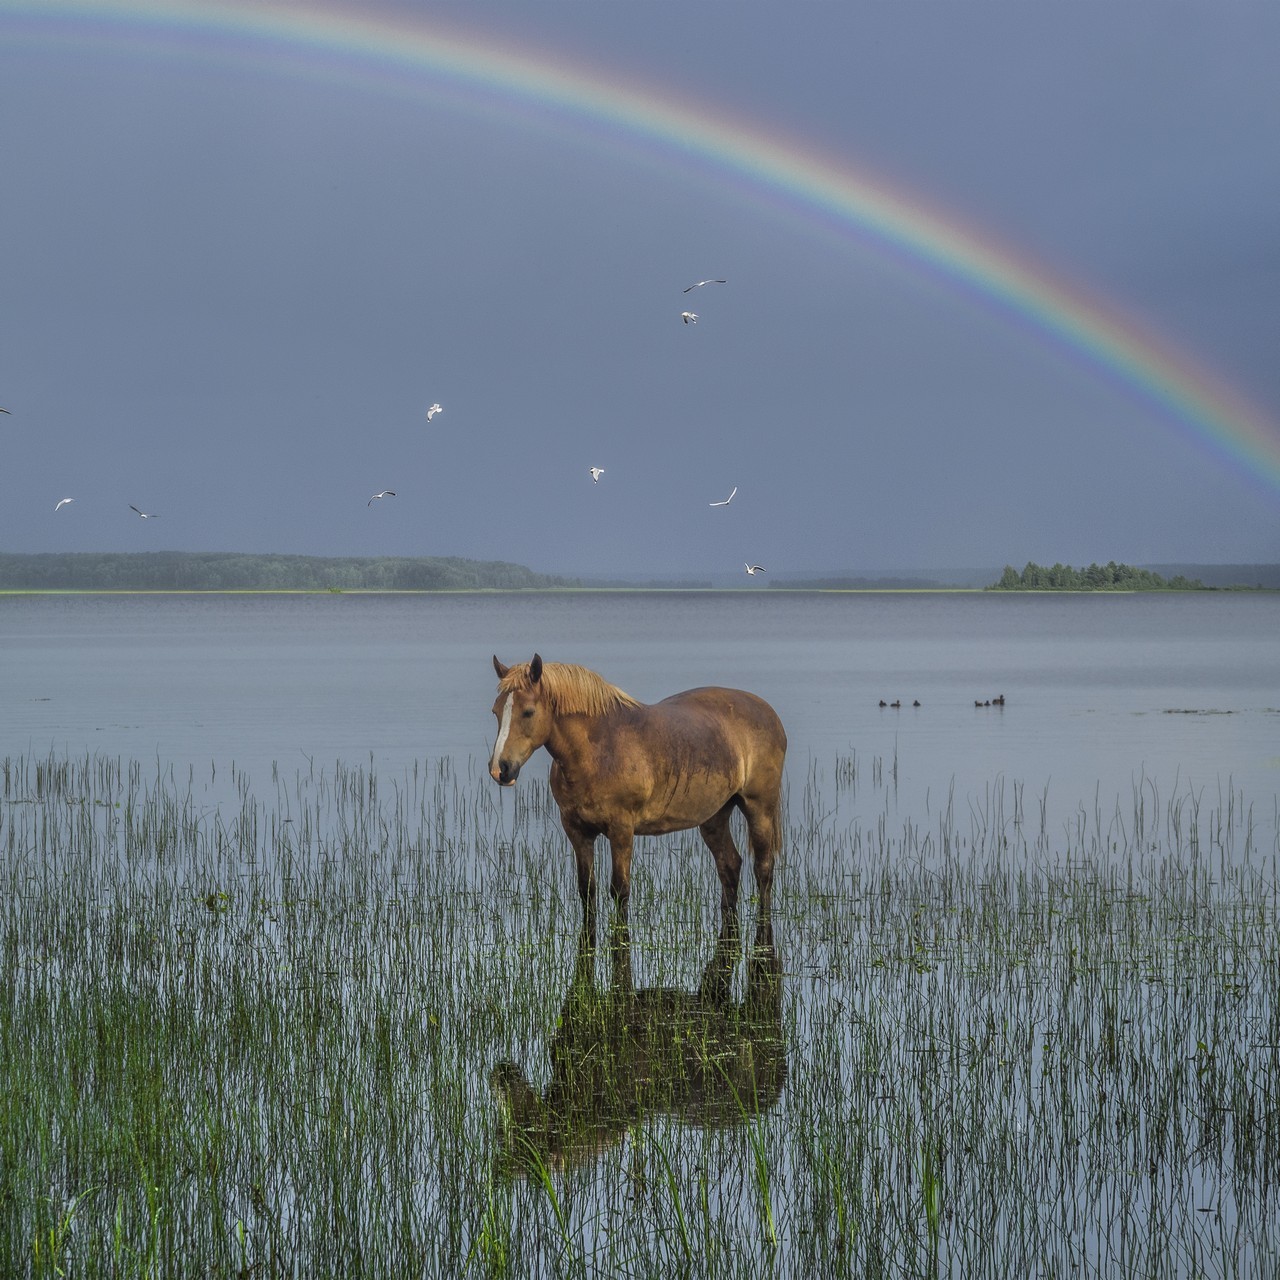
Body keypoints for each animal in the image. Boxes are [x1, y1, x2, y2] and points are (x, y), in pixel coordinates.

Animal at [488, 655, 788, 936]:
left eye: (528, 712)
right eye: (495, 711)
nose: (500, 769)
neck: (598, 752)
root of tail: (769, 714)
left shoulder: (621, 829)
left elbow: (620, 890)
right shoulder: (577, 830)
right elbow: (587, 889)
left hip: (759, 808)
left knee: (763, 869)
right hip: (714, 816)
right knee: (730, 866)